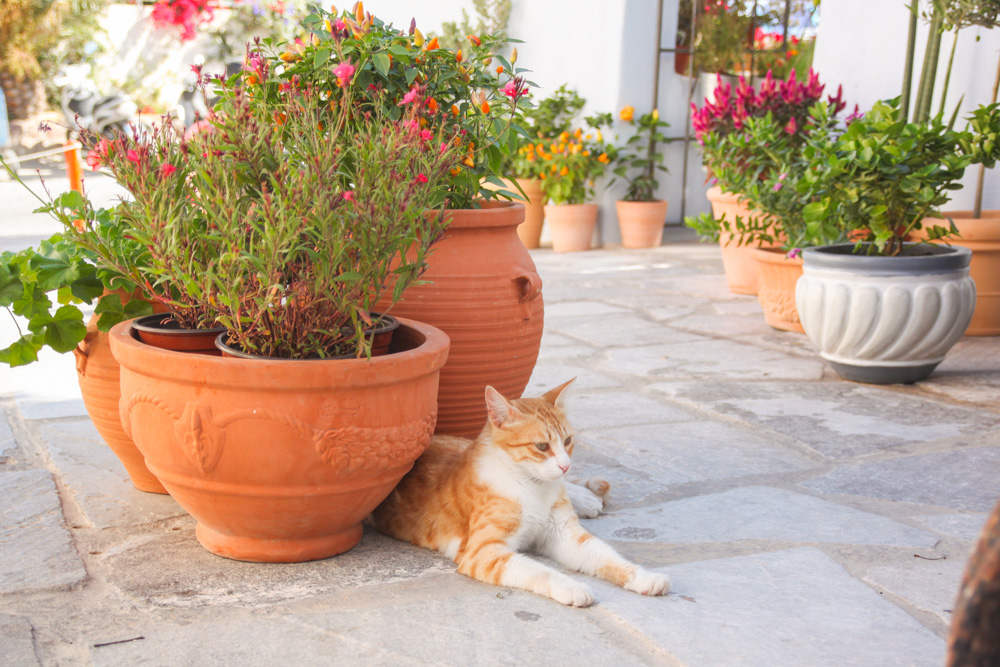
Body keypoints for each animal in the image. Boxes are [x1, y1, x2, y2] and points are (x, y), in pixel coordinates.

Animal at [370, 378, 672, 608]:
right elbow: (540, 570)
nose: (565, 465)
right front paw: (572, 586)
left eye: (567, 441)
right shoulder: (484, 551)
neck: (534, 488)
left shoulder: (565, 533)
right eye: (541, 446)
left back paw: (586, 496)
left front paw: (643, 577)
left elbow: (606, 556)